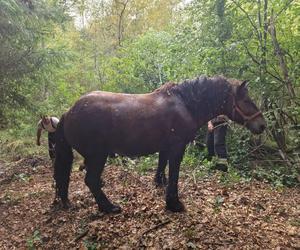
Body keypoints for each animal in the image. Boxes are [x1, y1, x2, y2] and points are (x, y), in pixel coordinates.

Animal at [52, 75, 266, 213]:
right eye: (246, 100)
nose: (262, 125)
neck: (185, 104)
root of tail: (68, 112)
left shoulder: (165, 147)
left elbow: (162, 166)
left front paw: (159, 184)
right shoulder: (177, 147)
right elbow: (174, 175)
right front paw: (173, 203)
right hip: (98, 156)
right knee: (91, 181)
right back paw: (108, 207)